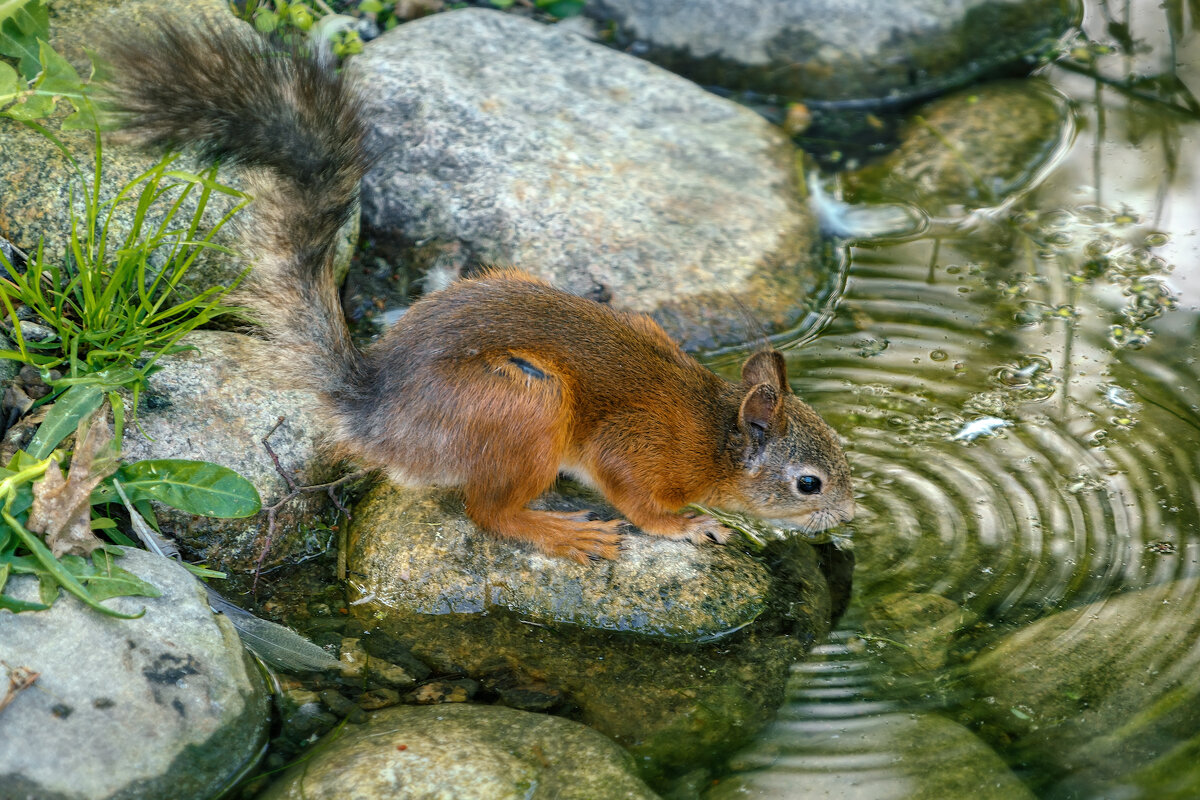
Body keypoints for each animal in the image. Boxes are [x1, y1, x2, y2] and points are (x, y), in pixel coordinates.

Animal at [100, 23, 854, 563]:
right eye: (808, 483)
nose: (849, 515)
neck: (714, 433)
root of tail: (375, 413)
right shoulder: (636, 451)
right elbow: (637, 500)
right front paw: (689, 527)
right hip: (523, 404)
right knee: (486, 513)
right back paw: (559, 532)